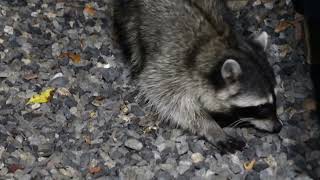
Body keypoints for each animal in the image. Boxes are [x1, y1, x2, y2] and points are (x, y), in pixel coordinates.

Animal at [113, 0, 282, 153]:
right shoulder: (172, 66)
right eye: (260, 107)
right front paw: (211, 126)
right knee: (133, 36)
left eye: (275, 97)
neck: (224, 45)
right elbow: (168, 98)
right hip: (132, 14)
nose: (278, 127)